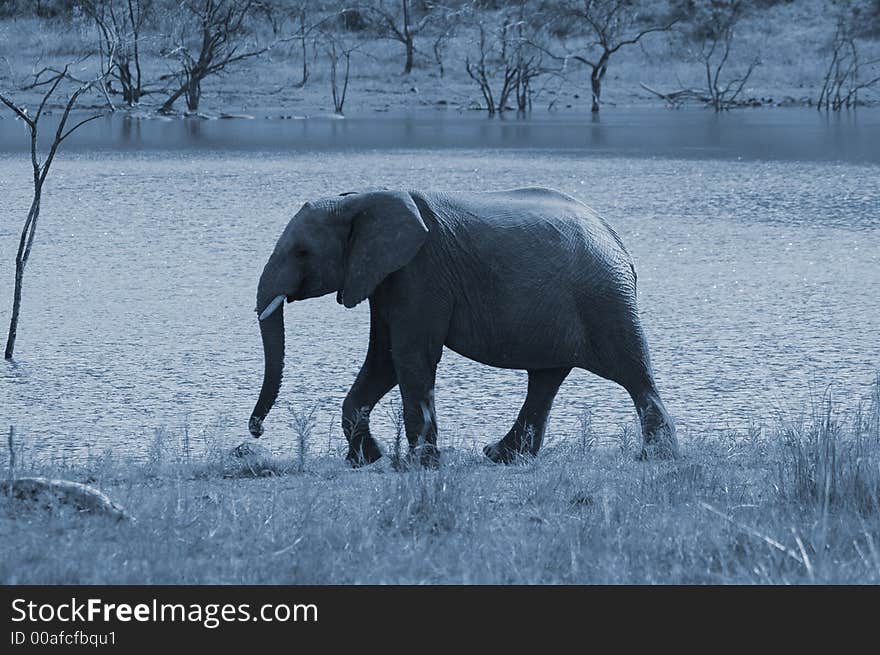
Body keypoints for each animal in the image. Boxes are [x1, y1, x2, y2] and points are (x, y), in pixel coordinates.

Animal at [249, 188, 680, 466]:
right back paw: (502, 457)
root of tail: (615, 237)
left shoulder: (419, 273)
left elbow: (410, 355)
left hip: (604, 298)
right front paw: (367, 460)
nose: (256, 432)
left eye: (302, 252)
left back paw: (656, 457)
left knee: (632, 371)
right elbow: (384, 358)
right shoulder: (385, 277)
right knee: (545, 378)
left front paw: (418, 465)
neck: (357, 200)